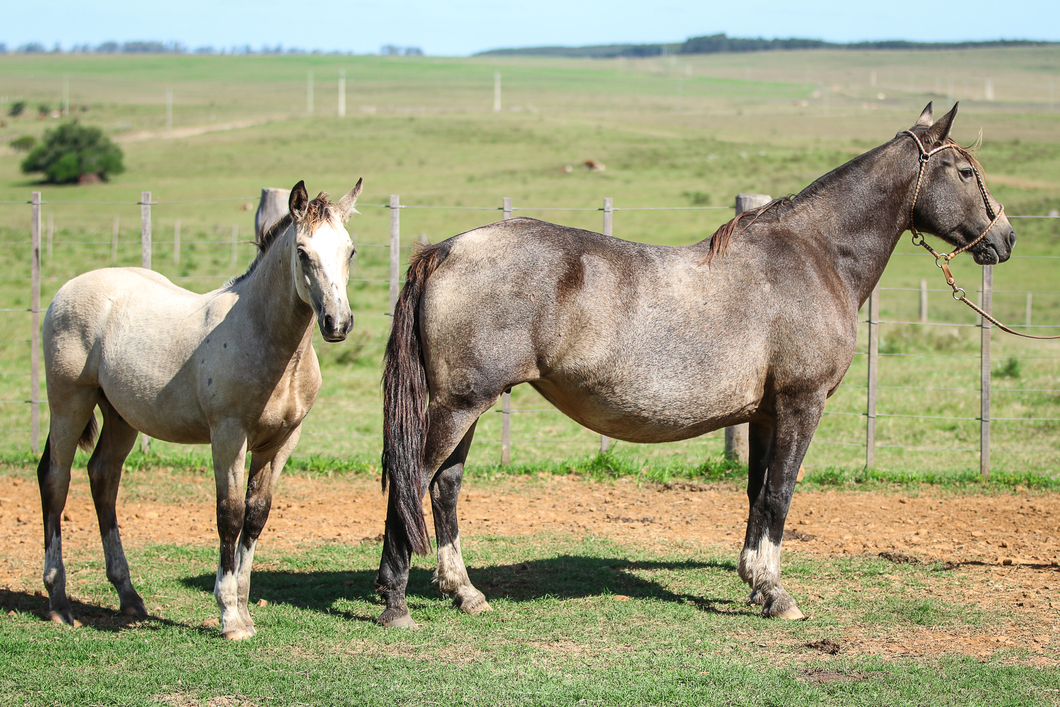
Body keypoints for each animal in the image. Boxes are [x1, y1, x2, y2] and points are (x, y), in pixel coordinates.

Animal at [37, 180, 362, 640]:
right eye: (302, 252)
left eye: (349, 250)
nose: (338, 323)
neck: (263, 337)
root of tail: (67, 290)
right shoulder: (228, 434)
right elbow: (230, 514)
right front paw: (230, 616)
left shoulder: (282, 440)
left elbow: (256, 515)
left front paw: (244, 607)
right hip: (69, 402)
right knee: (55, 479)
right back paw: (59, 602)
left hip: (121, 417)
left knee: (103, 478)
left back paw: (129, 597)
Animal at [377, 103, 1013, 623]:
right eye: (965, 172)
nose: (1003, 239)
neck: (815, 255)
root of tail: (447, 250)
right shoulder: (800, 405)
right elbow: (781, 493)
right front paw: (778, 596)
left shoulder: (764, 414)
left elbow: (758, 493)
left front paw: (756, 582)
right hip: (460, 405)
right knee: (413, 478)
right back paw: (395, 602)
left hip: (467, 405)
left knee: (445, 487)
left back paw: (463, 592)